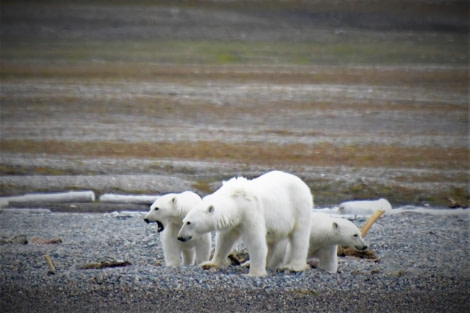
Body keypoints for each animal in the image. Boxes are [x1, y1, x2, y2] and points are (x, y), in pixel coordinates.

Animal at [178, 171, 314, 276]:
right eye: (183, 220)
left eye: (189, 222)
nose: (180, 237)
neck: (236, 200)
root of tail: (302, 183)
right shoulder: (233, 221)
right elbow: (225, 240)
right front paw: (209, 263)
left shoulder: (250, 212)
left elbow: (255, 241)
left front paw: (255, 273)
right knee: (271, 240)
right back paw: (250, 263)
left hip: (299, 207)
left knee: (299, 237)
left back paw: (293, 266)